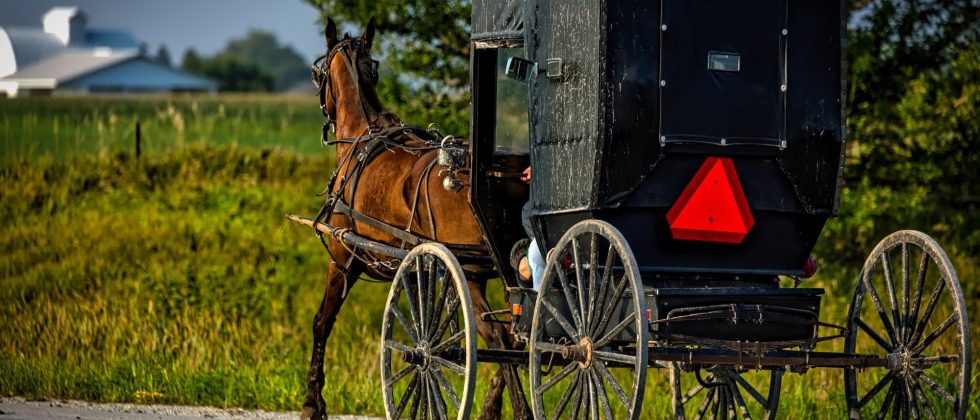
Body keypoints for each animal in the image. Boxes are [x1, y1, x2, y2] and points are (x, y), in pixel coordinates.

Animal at [300, 17, 532, 420]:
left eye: (319, 74)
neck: (362, 137)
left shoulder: (344, 257)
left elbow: (322, 322)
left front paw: (313, 401)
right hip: (507, 271)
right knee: (519, 337)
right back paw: (492, 408)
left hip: (469, 272)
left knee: (500, 338)